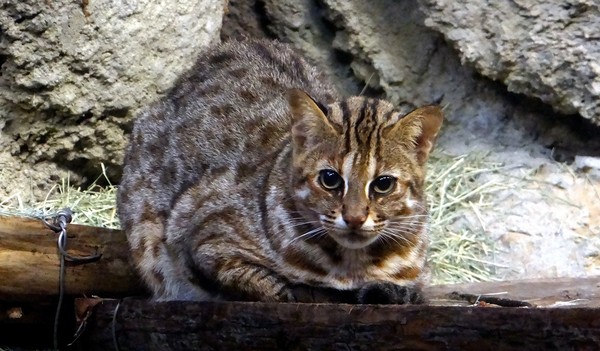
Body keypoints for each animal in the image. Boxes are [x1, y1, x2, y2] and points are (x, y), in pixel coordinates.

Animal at [118, 39, 446, 306]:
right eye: (330, 179)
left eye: (383, 184)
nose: (354, 218)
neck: (351, 263)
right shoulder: (198, 235)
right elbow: (265, 283)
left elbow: (407, 288)